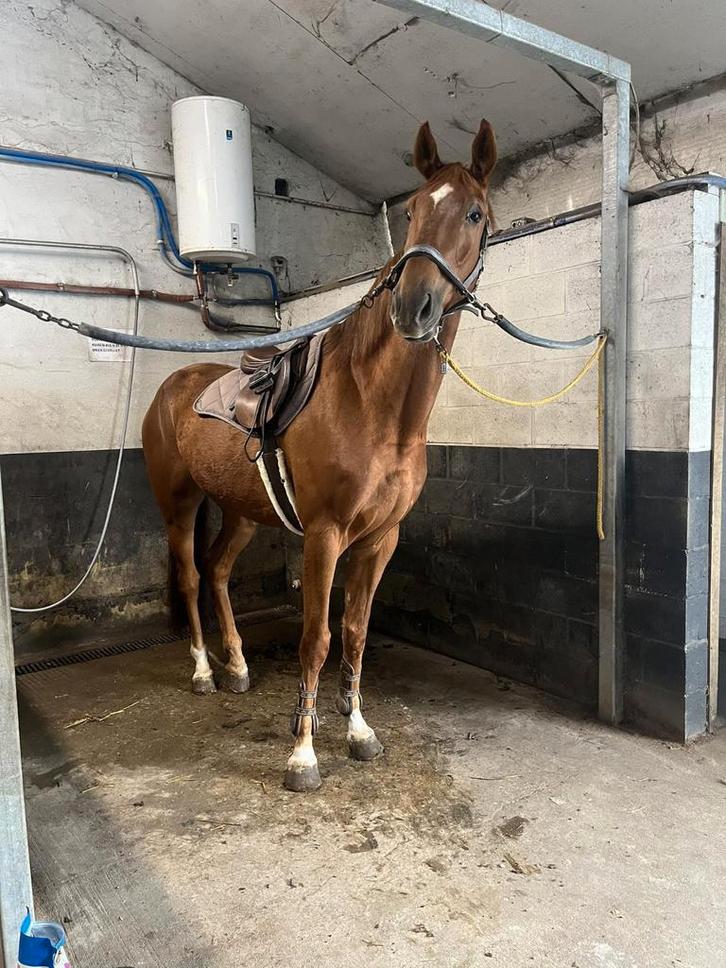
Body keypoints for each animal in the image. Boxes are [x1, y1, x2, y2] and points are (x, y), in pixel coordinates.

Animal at [142, 118, 497, 792]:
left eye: (474, 213)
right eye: (411, 211)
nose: (413, 307)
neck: (372, 405)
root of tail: (171, 387)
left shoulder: (381, 538)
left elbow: (355, 633)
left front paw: (357, 729)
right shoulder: (325, 535)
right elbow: (316, 638)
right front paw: (303, 755)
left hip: (242, 511)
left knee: (219, 572)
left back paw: (238, 667)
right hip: (179, 505)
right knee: (193, 574)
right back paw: (203, 672)